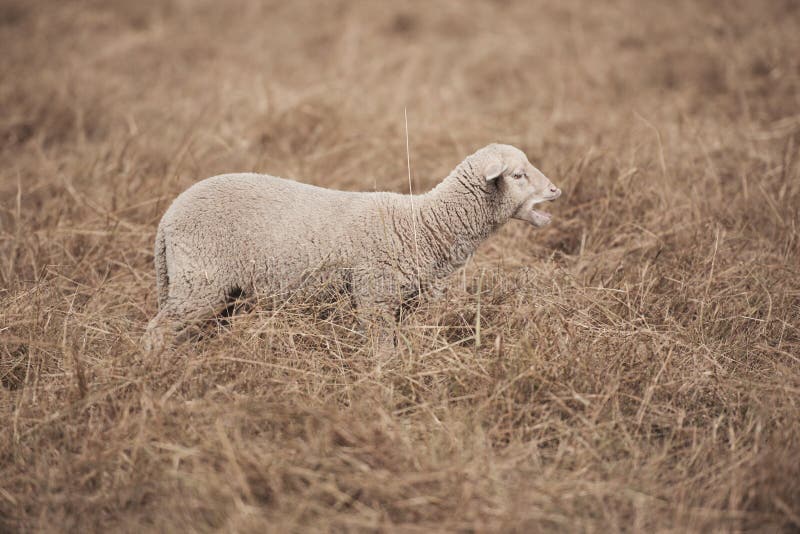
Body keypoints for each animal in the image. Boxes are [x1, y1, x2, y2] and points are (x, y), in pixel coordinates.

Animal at [142, 143, 561, 351]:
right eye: (518, 175)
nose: (556, 190)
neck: (425, 225)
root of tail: (168, 218)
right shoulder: (375, 294)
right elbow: (382, 350)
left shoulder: (401, 303)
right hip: (201, 279)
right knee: (157, 331)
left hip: (220, 290)